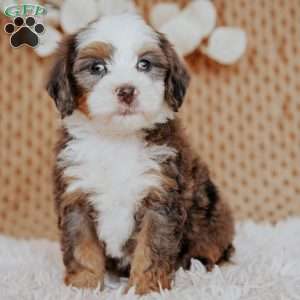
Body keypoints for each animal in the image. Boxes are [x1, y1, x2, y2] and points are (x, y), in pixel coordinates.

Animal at [47, 13, 234, 296]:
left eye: (144, 64)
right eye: (97, 68)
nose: (126, 90)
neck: (116, 140)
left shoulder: (160, 196)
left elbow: (151, 248)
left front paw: (145, 289)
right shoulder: (76, 194)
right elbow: (82, 247)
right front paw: (84, 287)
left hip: (214, 215)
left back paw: (199, 264)